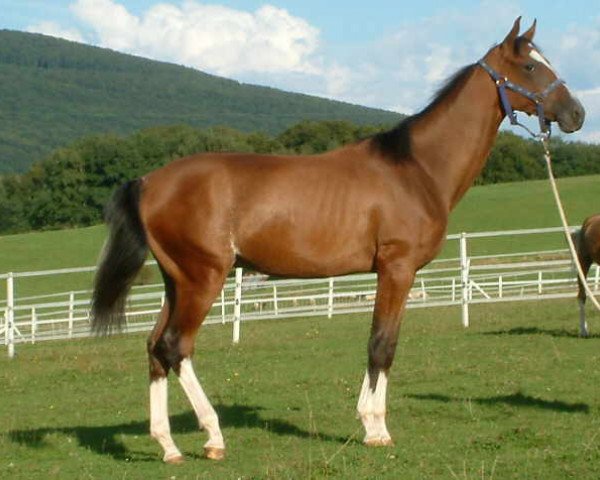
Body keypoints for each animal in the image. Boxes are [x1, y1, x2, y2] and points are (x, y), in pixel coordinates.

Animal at [91, 19, 584, 464]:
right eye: (529, 66)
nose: (577, 113)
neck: (417, 169)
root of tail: (148, 181)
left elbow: (383, 343)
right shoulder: (397, 270)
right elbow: (382, 345)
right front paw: (375, 428)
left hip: (177, 283)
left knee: (155, 349)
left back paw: (169, 446)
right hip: (203, 280)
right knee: (176, 347)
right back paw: (213, 437)